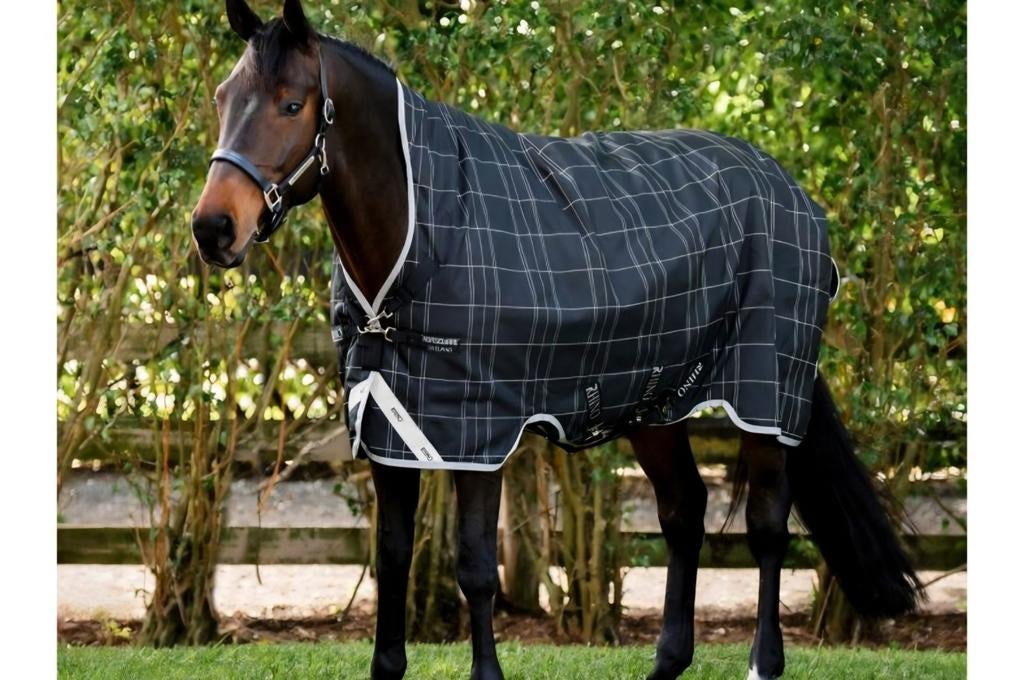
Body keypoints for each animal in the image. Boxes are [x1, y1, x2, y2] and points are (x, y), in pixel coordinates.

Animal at [191, 2, 922, 678]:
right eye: (224, 97)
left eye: (292, 104)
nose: (213, 228)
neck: (421, 229)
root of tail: (791, 192)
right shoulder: (389, 429)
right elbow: (393, 558)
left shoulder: (479, 437)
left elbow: (476, 567)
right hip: (656, 403)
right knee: (684, 510)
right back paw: (667, 662)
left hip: (765, 399)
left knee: (768, 527)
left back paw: (762, 662)